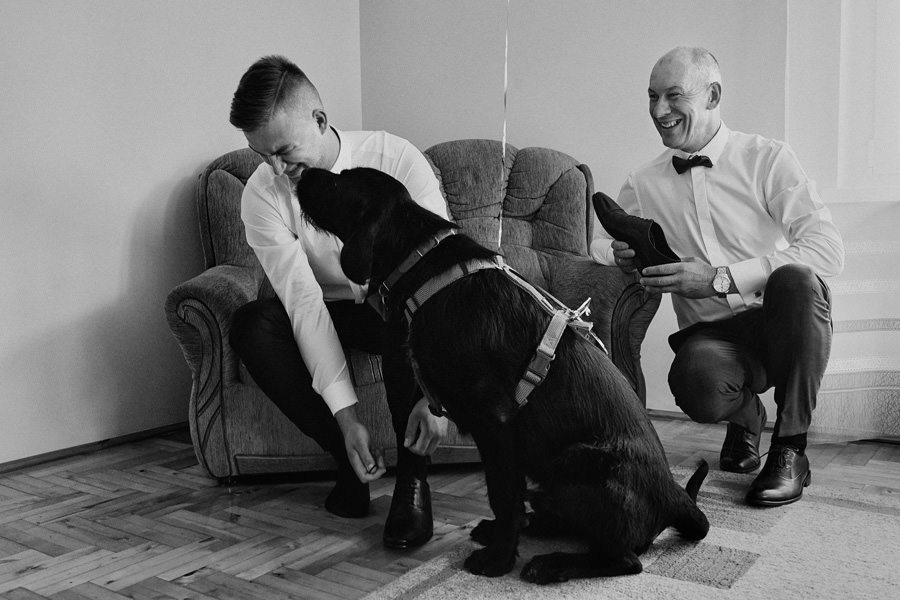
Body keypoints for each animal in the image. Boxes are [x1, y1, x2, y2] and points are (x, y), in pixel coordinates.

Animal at [294, 166, 709, 584]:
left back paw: (551, 563)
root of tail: (675, 497)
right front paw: (502, 541)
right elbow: (504, 493)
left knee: (625, 559)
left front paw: (498, 559)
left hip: (577, 462)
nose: (302, 172)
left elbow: (503, 494)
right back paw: (535, 528)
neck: (422, 265)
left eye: (339, 181)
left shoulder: (495, 419)